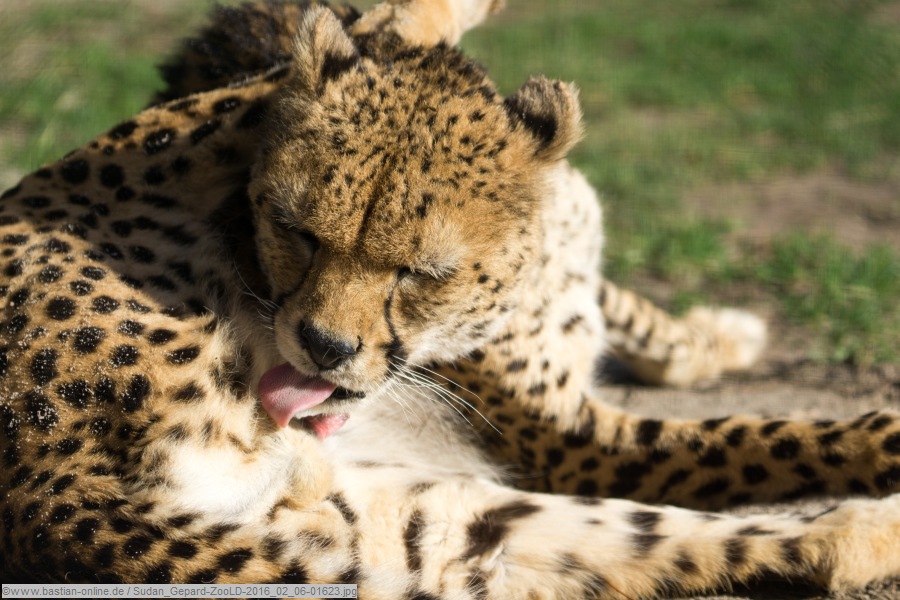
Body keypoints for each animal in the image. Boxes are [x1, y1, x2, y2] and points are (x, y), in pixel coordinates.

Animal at [1, 1, 899, 597]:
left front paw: (715, 336)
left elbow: (634, 316)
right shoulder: (577, 440)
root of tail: (46, 498)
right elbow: (762, 436)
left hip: (415, 523)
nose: (319, 348)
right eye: (296, 232)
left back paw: (868, 533)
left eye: (421, 273)